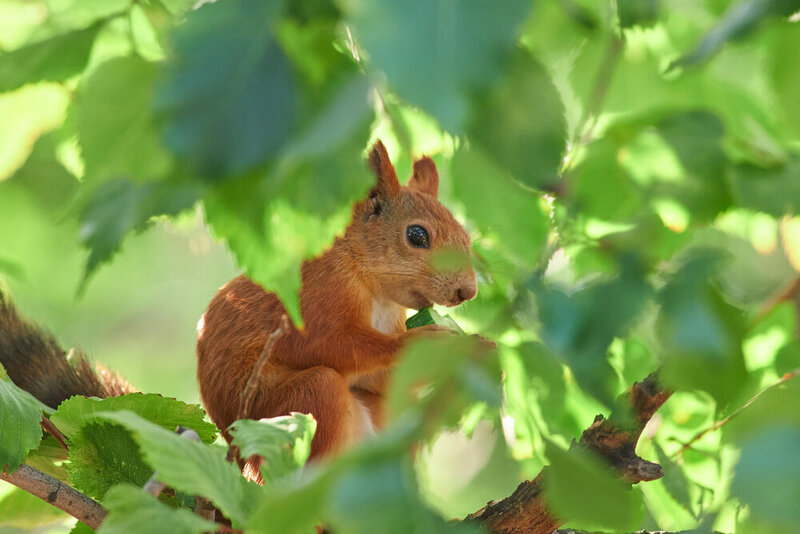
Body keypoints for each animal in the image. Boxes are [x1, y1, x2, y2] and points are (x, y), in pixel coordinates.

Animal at [196, 140, 478, 466]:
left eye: (466, 235)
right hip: (292, 404)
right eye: (417, 235)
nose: (468, 291)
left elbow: (382, 379)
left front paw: (477, 348)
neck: (376, 292)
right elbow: (332, 344)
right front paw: (424, 343)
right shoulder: (316, 296)